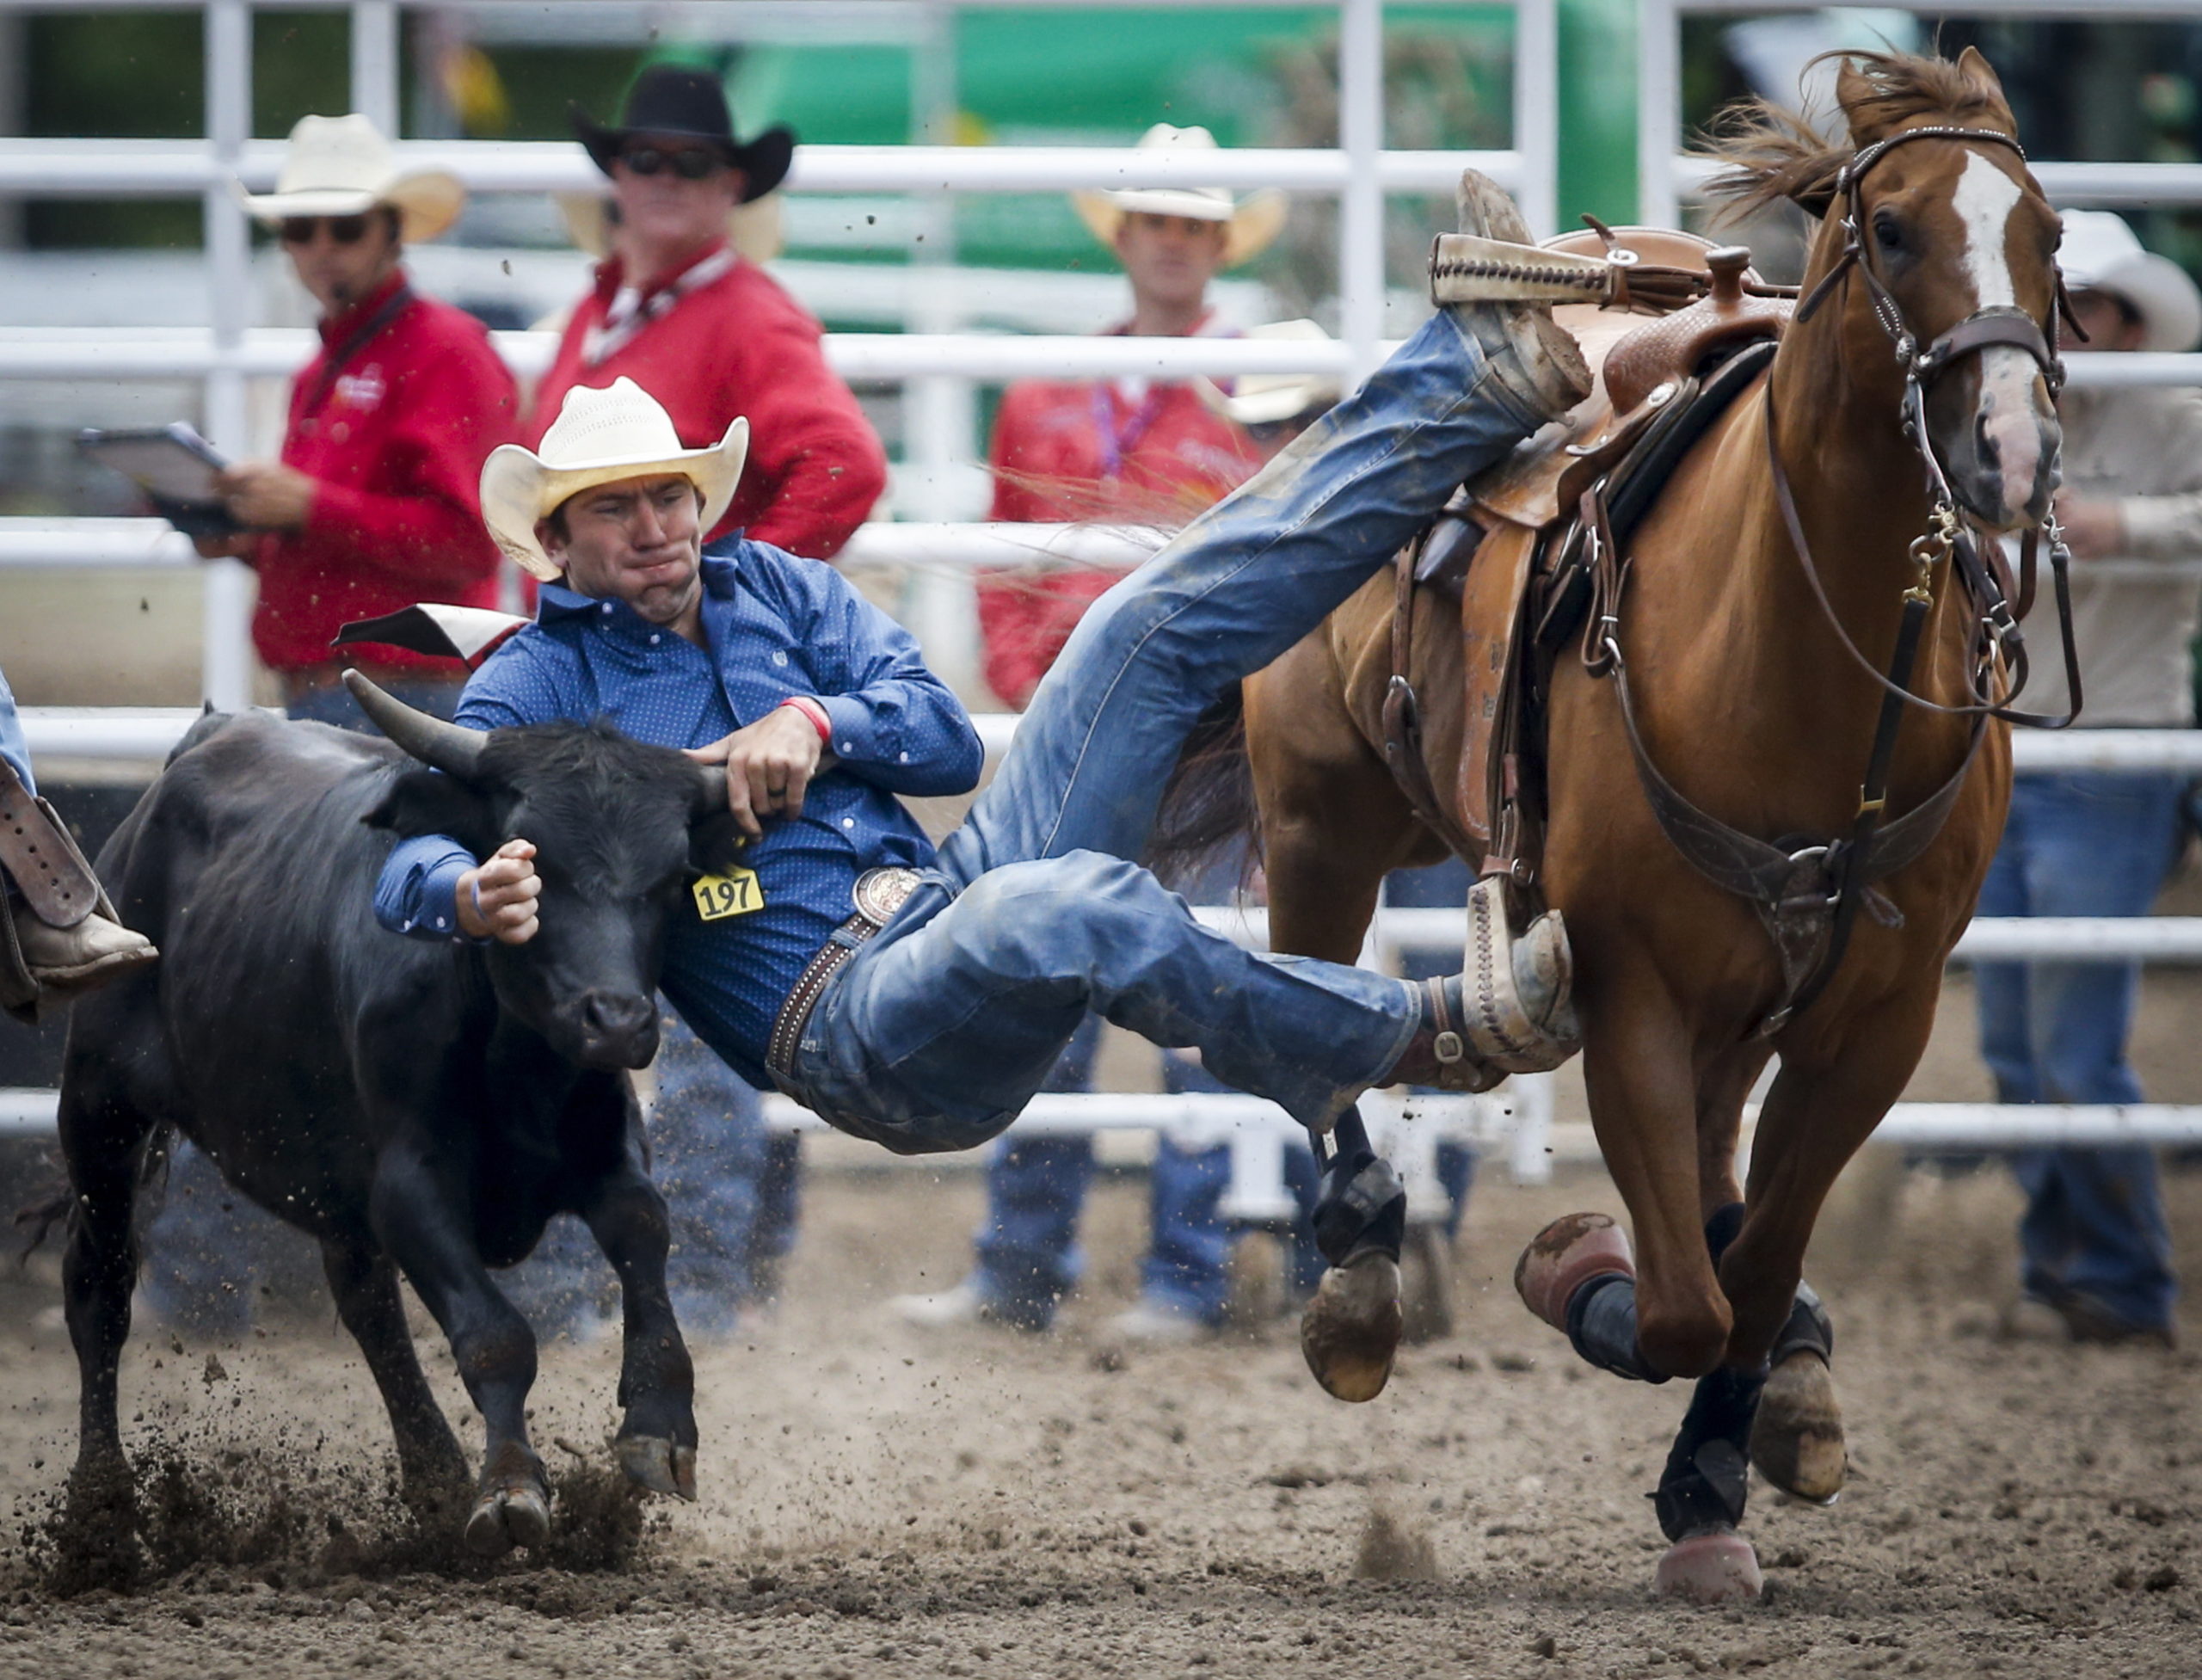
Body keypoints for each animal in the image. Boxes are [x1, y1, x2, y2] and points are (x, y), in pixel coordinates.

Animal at [1171, 52, 2061, 1594]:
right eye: (1890, 227)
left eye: (2048, 235)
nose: (2012, 446)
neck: (1798, 659)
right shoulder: (1631, 985)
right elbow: (1675, 1306)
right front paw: (1574, 1261)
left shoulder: (1876, 1018)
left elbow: (1748, 1277)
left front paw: (1728, 1460)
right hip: (1325, 820)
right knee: (1317, 1031)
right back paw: (1359, 1279)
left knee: (1714, 1193)